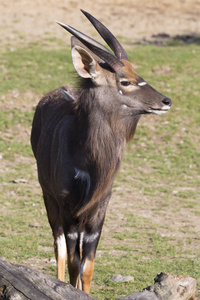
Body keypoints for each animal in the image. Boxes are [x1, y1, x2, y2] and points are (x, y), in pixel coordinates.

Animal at [30, 9, 171, 296]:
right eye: (125, 81)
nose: (166, 101)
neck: (91, 162)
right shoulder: (69, 209)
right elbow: (73, 261)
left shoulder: (99, 210)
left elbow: (88, 266)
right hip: (49, 200)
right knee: (59, 248)